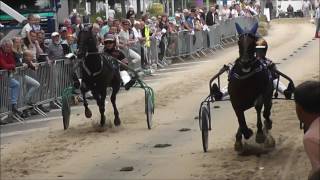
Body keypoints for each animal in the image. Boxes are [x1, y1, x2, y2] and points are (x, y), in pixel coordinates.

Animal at [228, 22, 276, 152]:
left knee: (266, 110)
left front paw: (259, 134)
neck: (245, 79)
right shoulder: (235, 99)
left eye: (252, 43)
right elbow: (240, 116)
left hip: (268, 93)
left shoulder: (262, 92)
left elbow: (258, 106)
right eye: (239, 42)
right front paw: (244, 133)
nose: (245, 62)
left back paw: (267, 124)